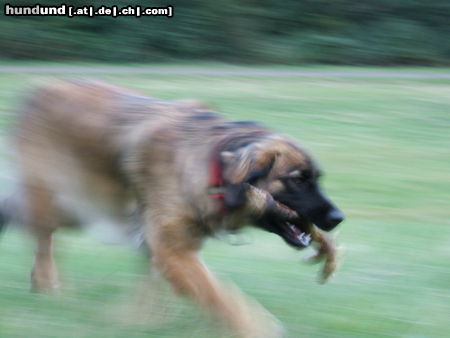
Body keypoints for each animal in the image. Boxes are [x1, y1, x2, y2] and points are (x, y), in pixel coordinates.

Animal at [1, 80, 342, 338]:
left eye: (317, 178)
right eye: (297, 180)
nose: (338, 218)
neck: (211, 168)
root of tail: (38, 90)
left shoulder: (160, 244)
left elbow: (154, 285)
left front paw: (142, 320)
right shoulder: (174, 250)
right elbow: (219, 296)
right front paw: (255, 328)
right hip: (58, 200)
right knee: (43, 241)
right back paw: (50, 288)